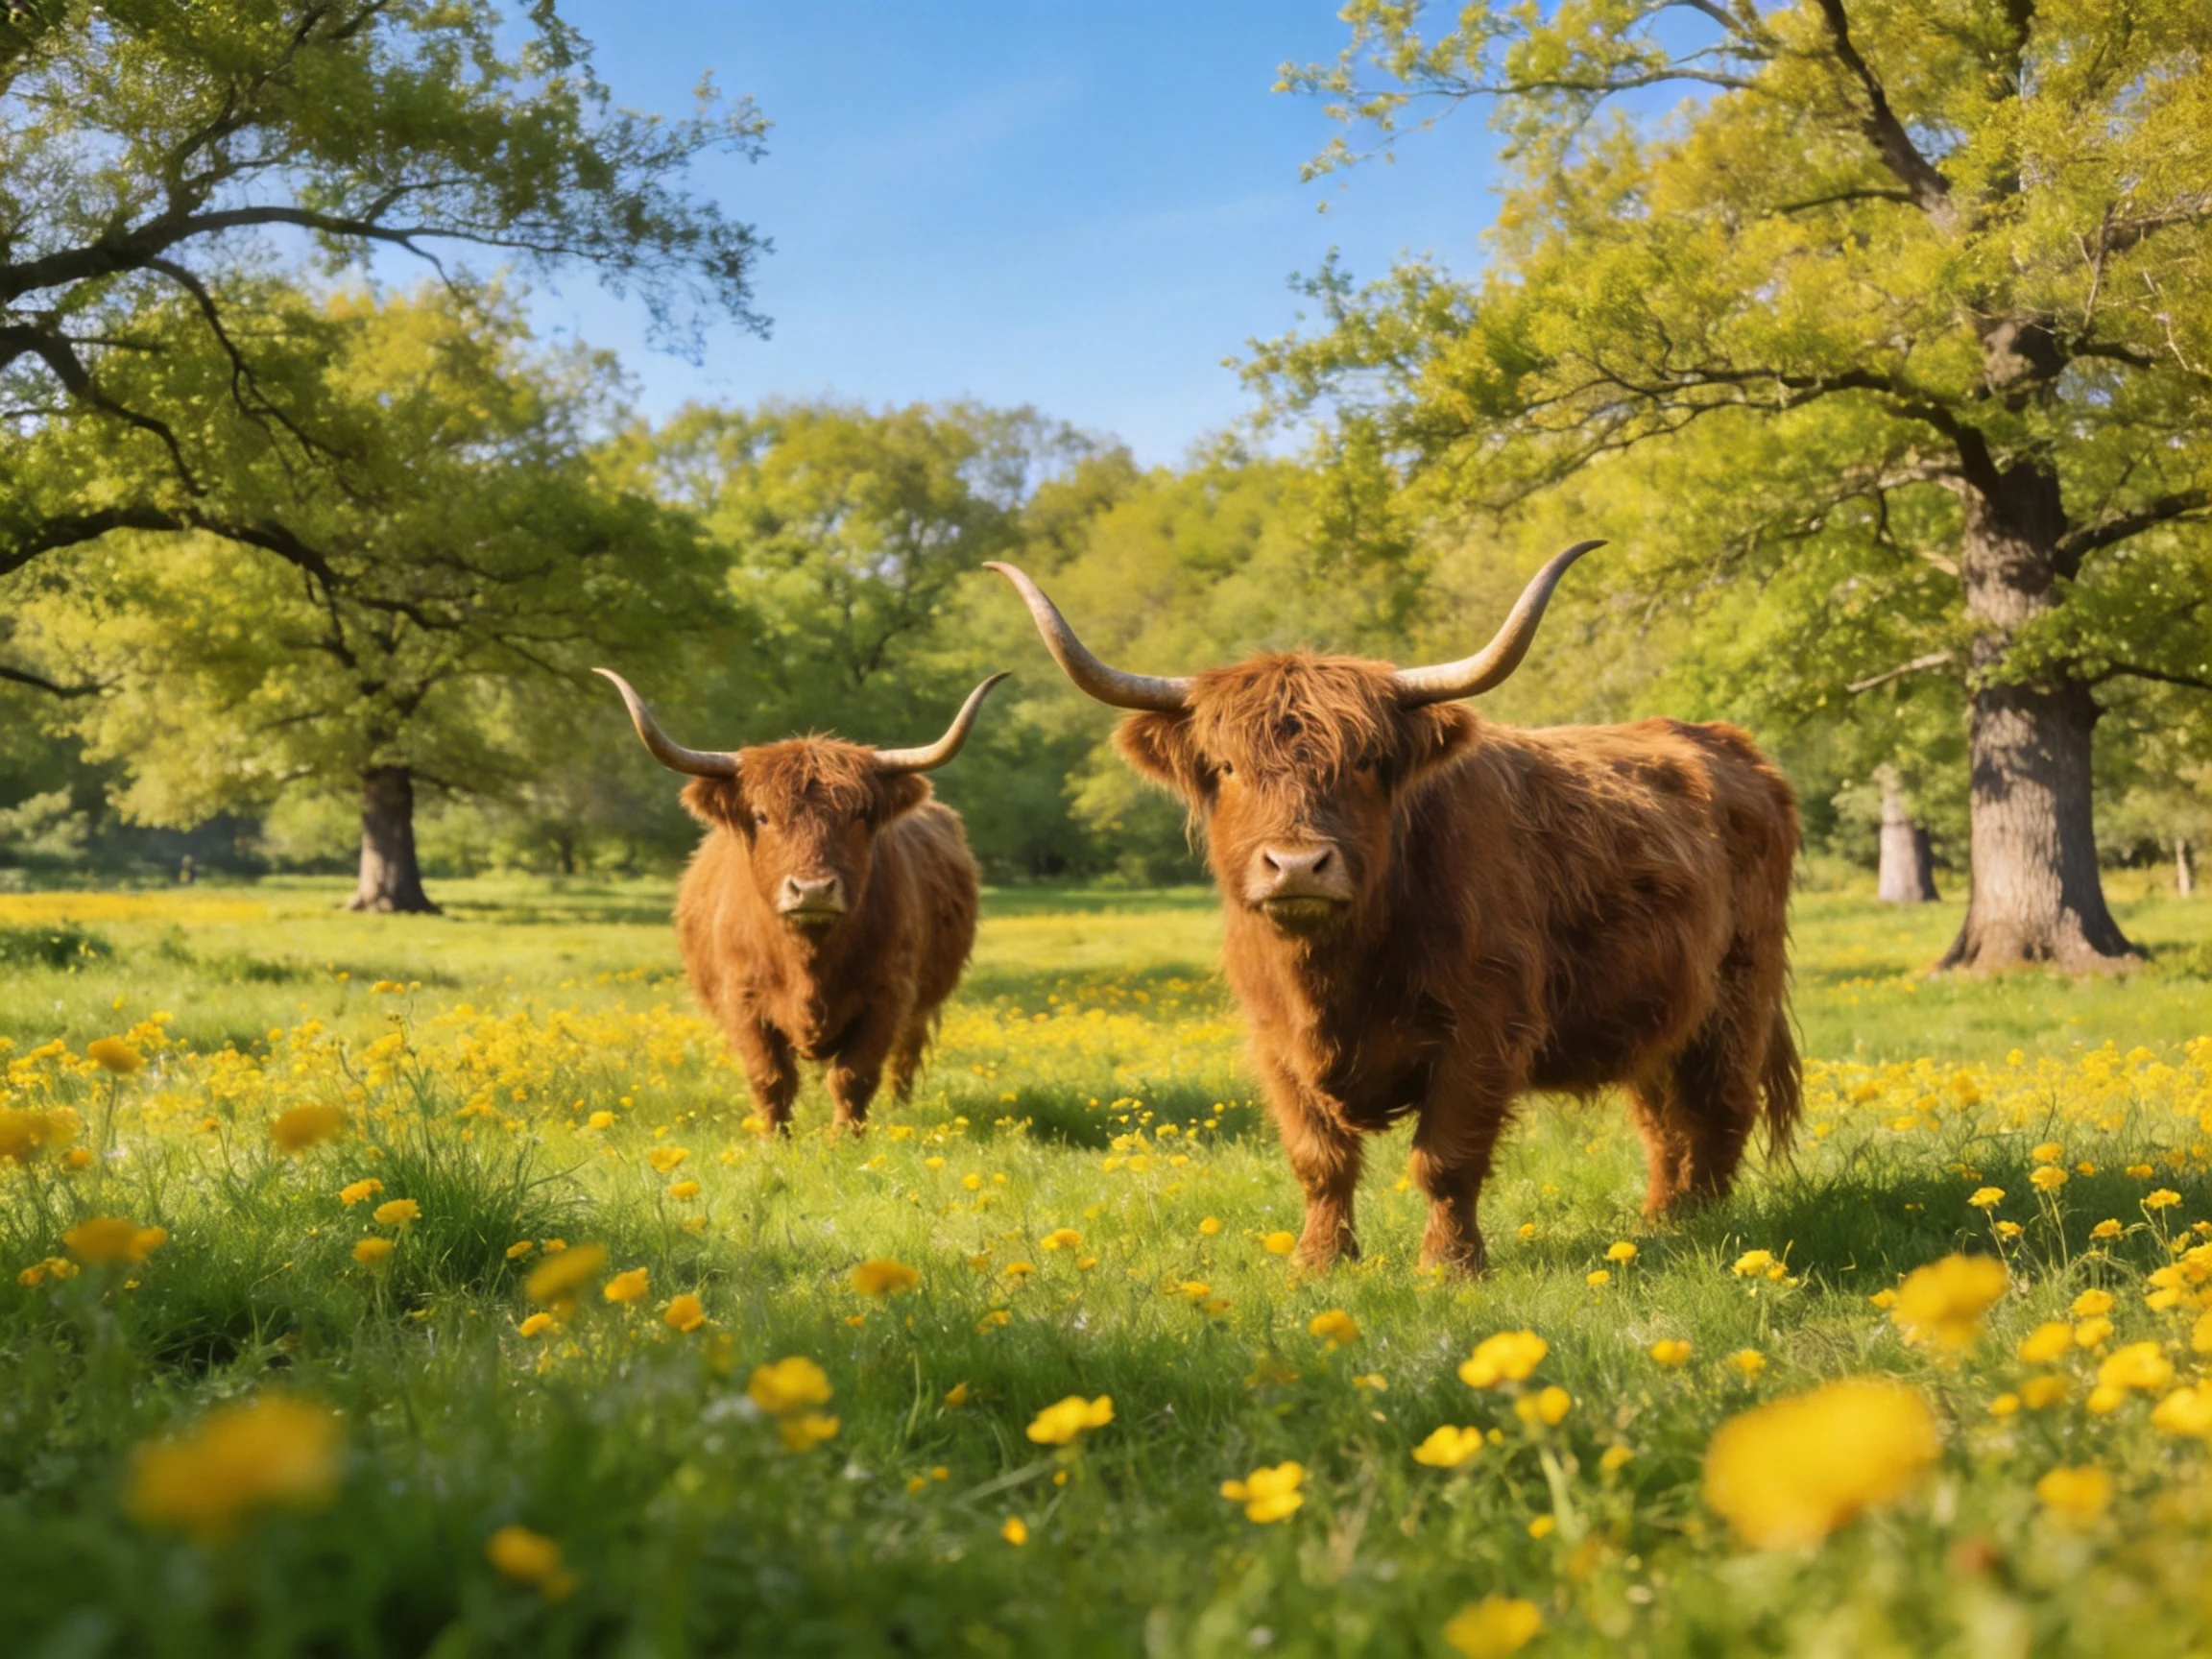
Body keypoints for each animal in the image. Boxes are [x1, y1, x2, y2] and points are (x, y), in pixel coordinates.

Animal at [596, 669, 1006, 1133]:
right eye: (762, 816)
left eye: (859, 814)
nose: (812, 890)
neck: (808, 960)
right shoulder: (743, 999)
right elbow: (770, 1077)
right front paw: (775, 1140)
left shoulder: (888, 995)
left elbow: (853, 1076)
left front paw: (845, 1140)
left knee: (906, 1052)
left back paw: (902, 1110)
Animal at [988, 545, 1799, 1273]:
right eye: (1226, 767)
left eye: (1366, 763)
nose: (1297, 865)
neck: (1333, 977)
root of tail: (1728, 745)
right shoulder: (1274, 1042)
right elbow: (1318, 1160)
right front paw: (1319, 1263)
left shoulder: (1483, 1029)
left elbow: (1444, 1159)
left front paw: (1450, 1265)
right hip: (1660, 1011)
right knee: (1663, 1119)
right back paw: (1662, 1220)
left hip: (1737, 996)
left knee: (1718, 1106)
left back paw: (1707, 1229)